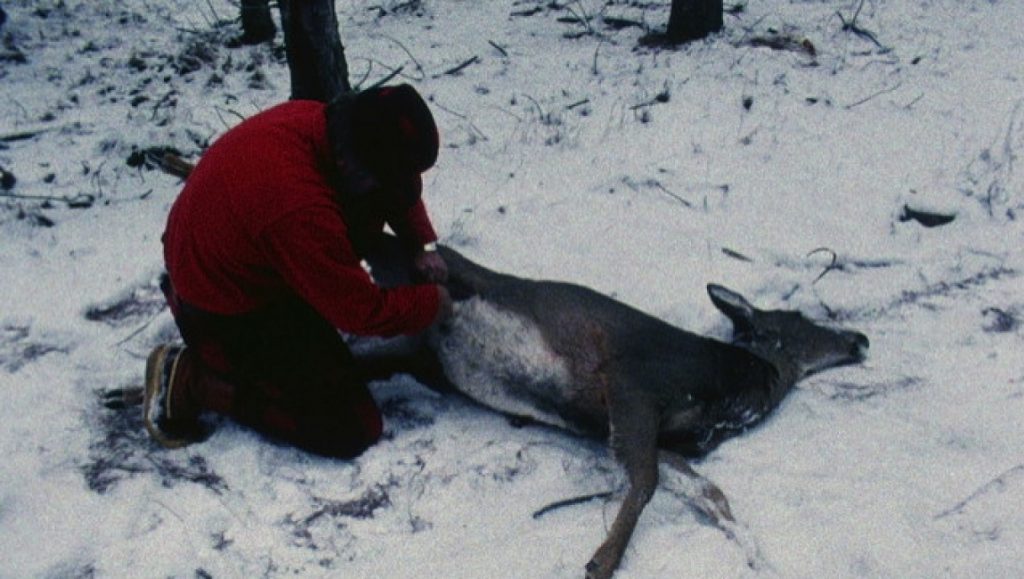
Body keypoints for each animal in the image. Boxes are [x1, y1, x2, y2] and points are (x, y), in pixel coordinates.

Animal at [355, 238, 870, 579]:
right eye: (800, 317)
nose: (859, 339)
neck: (733, 386)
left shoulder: (657, 432)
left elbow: (708, 491)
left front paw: (756, 556)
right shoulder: (632, 382)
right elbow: (645, 481)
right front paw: (603, 560)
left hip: (410, 352)